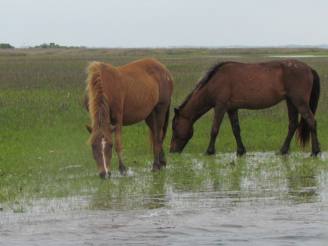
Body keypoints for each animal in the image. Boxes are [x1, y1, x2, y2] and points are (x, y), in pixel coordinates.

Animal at [169, 59, 320, 156]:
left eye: (174, 127)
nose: (172, 151)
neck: (214, 82)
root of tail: (309, 68)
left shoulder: (220, 106)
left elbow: (214, 129)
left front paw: (209, 151)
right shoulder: (231, 109)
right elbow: (236, 129)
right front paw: (241, 151)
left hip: (299, 102)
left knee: (311, 121)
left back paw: (315, 151)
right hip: (291, 102)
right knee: (293, 124)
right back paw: (283, 151)